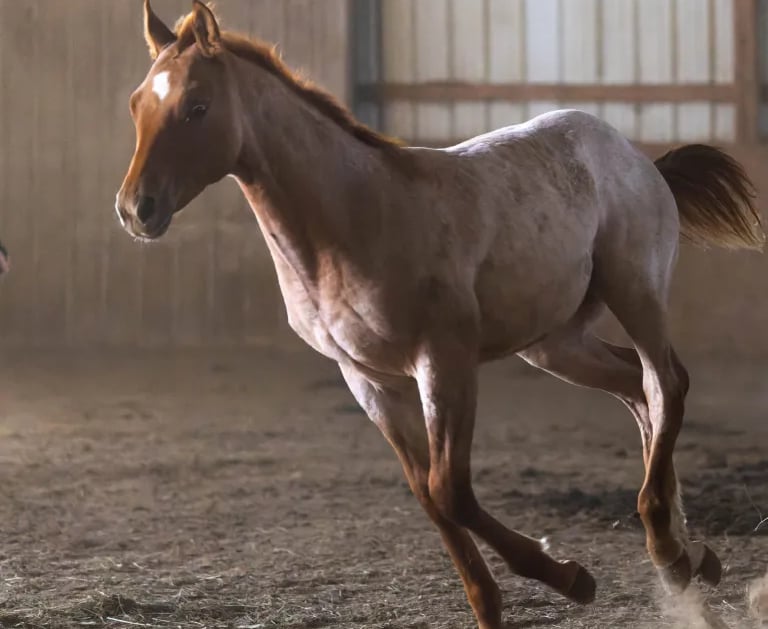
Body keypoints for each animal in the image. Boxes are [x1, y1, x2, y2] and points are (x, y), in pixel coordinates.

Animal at [115, 2, 765, 627]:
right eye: (136, 104)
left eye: (197, 106)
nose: (135, 209)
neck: (353, 218)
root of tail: (637, 156)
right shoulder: (368, 380)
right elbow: (427, 495)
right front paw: (492, 604)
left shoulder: (444, 361)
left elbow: (449, 489)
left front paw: (570, 577)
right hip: (554, 342)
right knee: (638, 388)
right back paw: (692, 554)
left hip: (635, 290)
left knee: (666, 382)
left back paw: (669, 549)